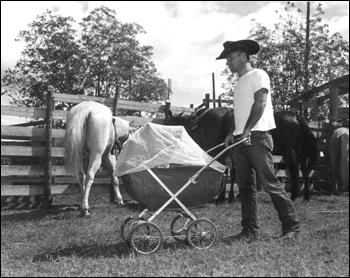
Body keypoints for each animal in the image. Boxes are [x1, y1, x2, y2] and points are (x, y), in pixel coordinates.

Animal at [168, 107, 318, 201]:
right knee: (302, 170)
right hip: (299, 150)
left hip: (288, 151)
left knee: (293, 169)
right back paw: (303, 196)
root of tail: (297, 116)